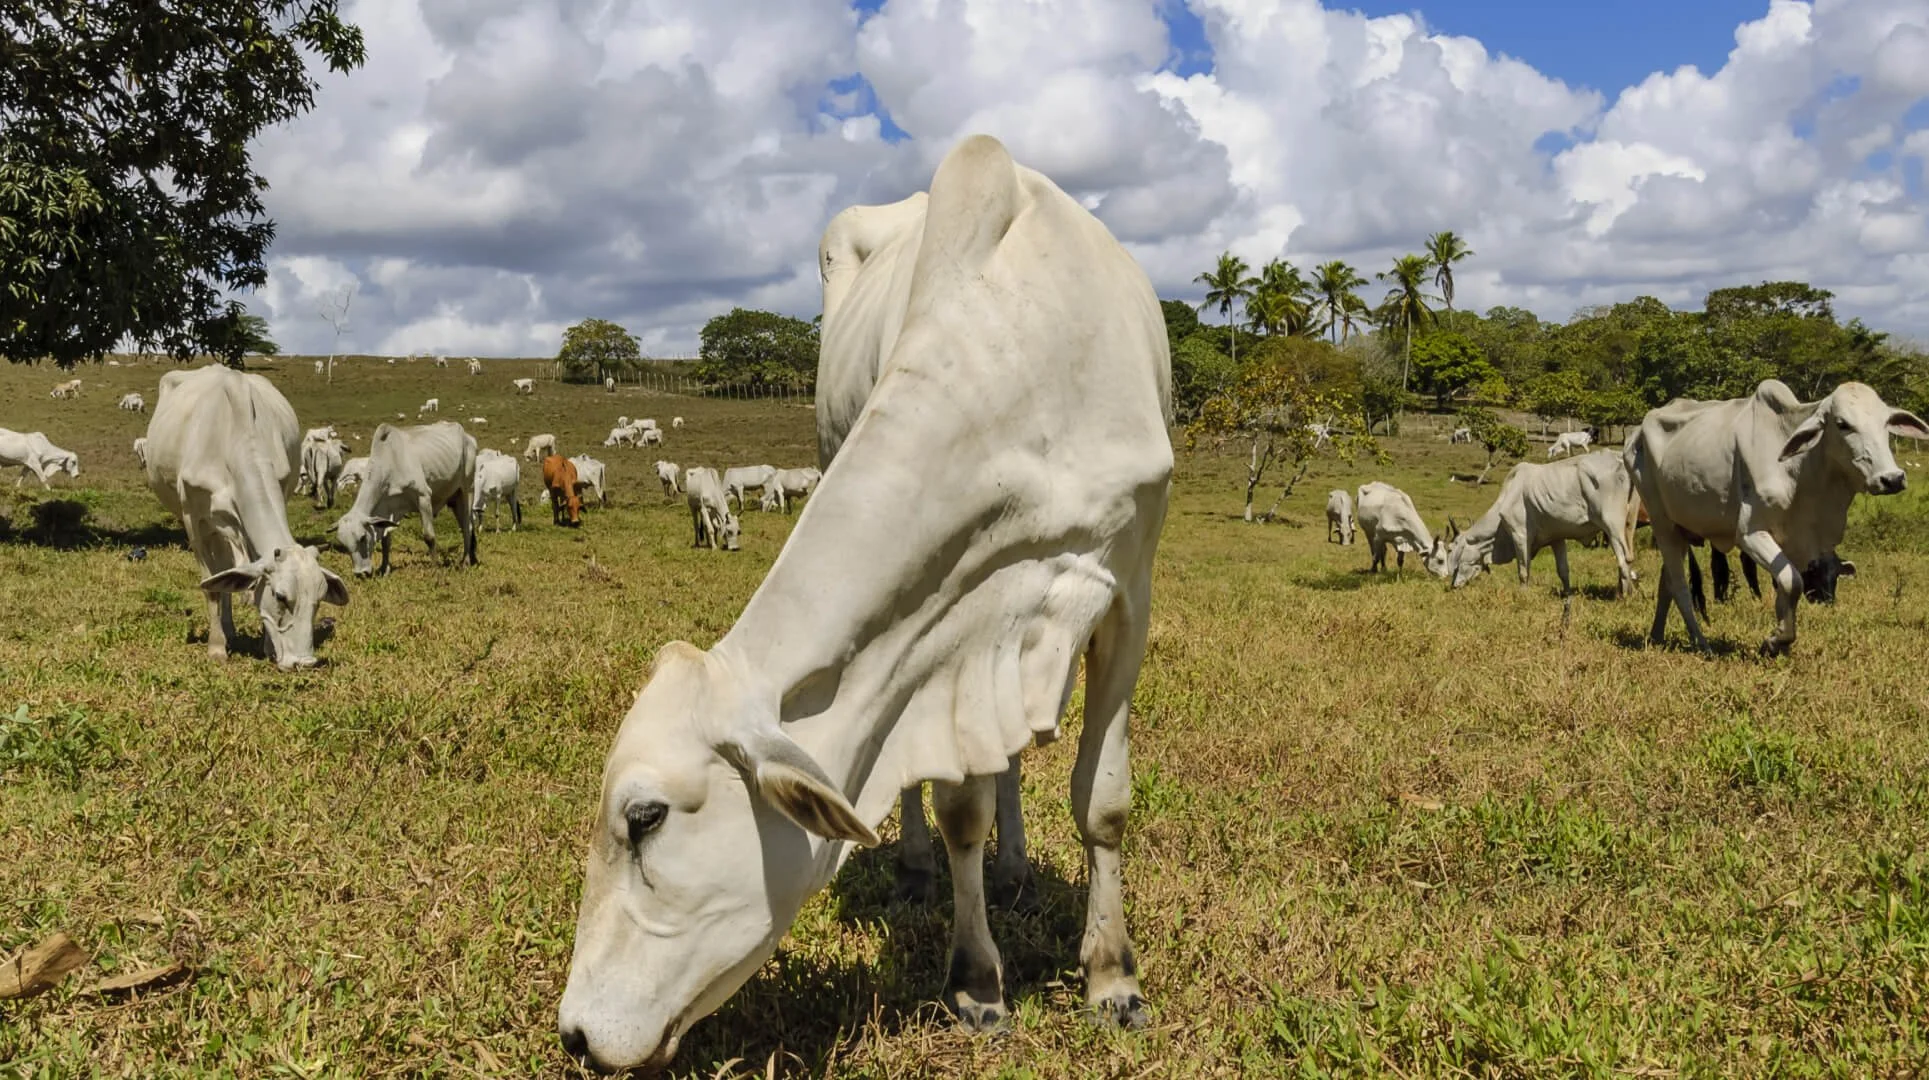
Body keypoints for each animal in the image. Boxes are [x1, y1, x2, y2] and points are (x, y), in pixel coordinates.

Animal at [141, 365, 349, 668]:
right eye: (281, 596)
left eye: (319, 599)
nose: (304, 662)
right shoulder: (194, 521)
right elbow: (212, 586)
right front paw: (216, 648)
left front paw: (267, 645)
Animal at [333, 421, 480, 576]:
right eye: (343, 544)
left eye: (362, 538)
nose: (361, 573)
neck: (391, 461)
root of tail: (468, 437)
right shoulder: (388, 509)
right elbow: (386, 540)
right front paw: (384, 569)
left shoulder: (423, 496)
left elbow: (429, 537)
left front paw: (435, 568)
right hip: (454, 499)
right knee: (465, 524)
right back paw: (472, 558)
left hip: (467, 490)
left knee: (467, 526)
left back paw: (465, 561)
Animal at [558, 135, 1174, 1072]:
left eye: (644, 817)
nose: (575, 1034)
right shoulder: (950, 629)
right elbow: (959, 807)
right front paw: (978, 982)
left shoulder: (1123, 590)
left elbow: (1100, 801)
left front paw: (1111, 979)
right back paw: (921, 868)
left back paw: (1017, 871)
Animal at [1436, 450, 1640, 597]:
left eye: (1450, 549)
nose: (1453, 584)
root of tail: (1620, 459)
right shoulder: (1557, 538)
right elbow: (1563, 571)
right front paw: (1567, 594)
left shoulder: (1519, 535)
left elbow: (1523, 570)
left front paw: (1523, 595)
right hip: (1628, 525)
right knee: (1629, 558)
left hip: (1612, 527)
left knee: (1623, 559)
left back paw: (1623, 595)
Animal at [1625, 379, 1927, 655]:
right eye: (1842, 424)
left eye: (1886, 422)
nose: (1891, 478)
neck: (1802, 471)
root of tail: (1636, 433)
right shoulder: (1750, 535)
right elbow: (1792, 583)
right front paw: (1775, 641)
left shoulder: (1796, 541)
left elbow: (1787, 587)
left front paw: (1780, 642)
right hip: (1662, 523)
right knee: (1679, 587)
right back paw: (1702, 644)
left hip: (1681, 529)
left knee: (1666, 583)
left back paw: (1656, 636)